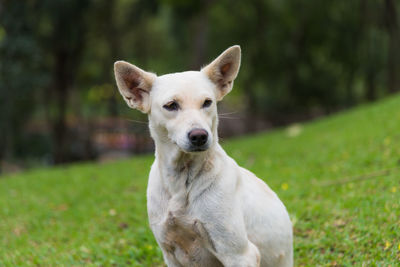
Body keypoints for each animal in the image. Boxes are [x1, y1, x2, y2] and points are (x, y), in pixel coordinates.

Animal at [114, 45, 292, 266]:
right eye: (171, 105)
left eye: (207, 102)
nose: (199, 135)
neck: (181, 182)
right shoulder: (169, 253)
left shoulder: (240, 254)